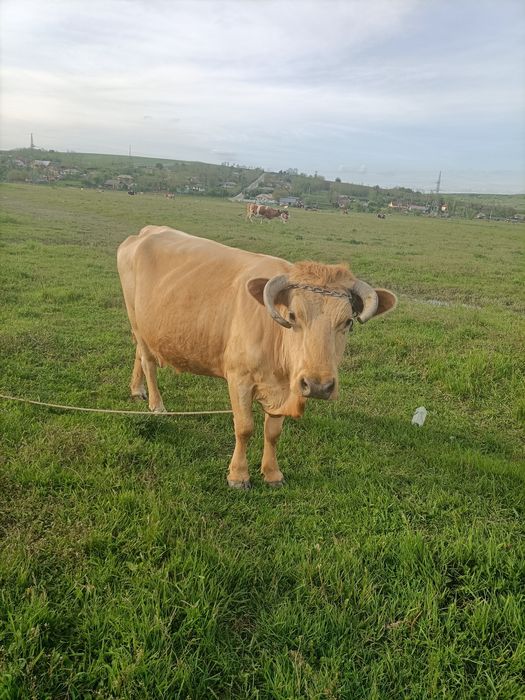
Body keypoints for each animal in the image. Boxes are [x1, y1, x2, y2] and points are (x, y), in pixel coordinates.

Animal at [117, 226, 396, 488]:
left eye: (348, 322)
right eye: (292, 315)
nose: (318, 386)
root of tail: (146, 232)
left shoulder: (284, 388)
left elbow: (273, 432)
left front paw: (272, 473)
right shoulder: (239, 379)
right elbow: (244, 427)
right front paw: (238, 475)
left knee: (139, 354)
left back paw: (137, 389)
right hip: (135, 318)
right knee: (148, 361)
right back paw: (156, 404)